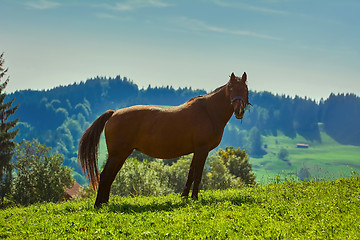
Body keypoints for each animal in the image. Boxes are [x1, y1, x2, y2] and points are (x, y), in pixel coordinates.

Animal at [77, 72, 249, 207]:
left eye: (245, 89)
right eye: (231, 88)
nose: (239, 110)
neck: (208, 111)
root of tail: (114, 113)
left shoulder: (196, 151)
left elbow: (190, 174)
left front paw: (184, 197)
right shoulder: (202, 149)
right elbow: (198, 175)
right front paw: (194, 198)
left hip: (120, 155)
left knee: (110, 176)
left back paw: (104, 203)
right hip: (118, 154)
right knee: (106, 175)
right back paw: (99, 204)